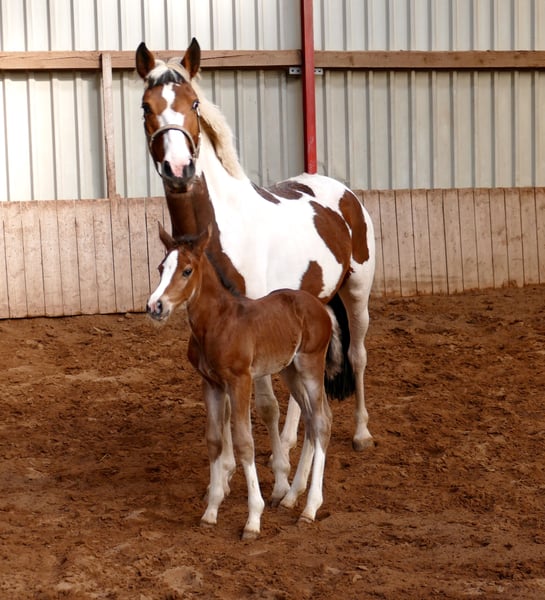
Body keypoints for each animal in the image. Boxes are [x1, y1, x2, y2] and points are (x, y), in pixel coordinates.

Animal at [135, 38, 376, 463]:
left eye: (193, 103)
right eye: (146, 106)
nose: (178, 169)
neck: (223, 226)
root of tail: (345, 194)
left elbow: (264, 403)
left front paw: (278, 465)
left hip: (357, 291)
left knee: (357, 355)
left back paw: (361, 434)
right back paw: (295, 437)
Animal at [147, 223, 339, 539]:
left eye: (187, 270)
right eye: (162, 267)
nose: (155, 306)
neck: (217, 323)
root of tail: (320, 307)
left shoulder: (241, 380)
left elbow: (244, 442)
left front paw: (253, 520)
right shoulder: (211, 384)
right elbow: (214, 440)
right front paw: (211, 511)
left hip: (310, 365)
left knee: (322, 420)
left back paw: (309, 508)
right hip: (290, 370)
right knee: (313, 419)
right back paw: (290, 498)